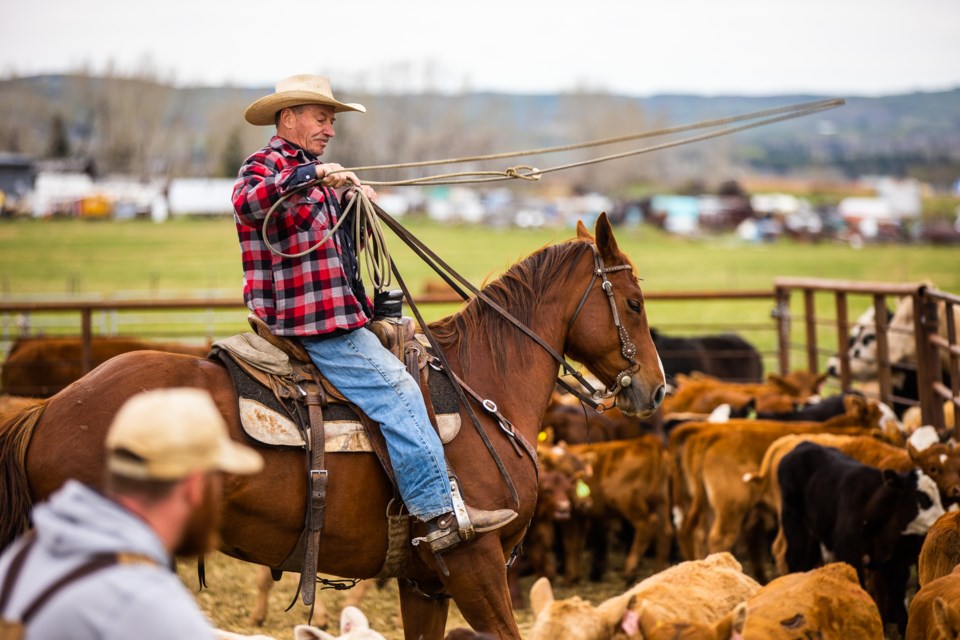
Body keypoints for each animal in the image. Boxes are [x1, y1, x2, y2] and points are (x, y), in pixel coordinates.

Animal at [776, 442, 940, 632]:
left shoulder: (894, 564)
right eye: (923, 497)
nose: (942, 517)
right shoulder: (850, 555)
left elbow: (898, 597)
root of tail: (803, 444)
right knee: (796, 562)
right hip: (797, 532)